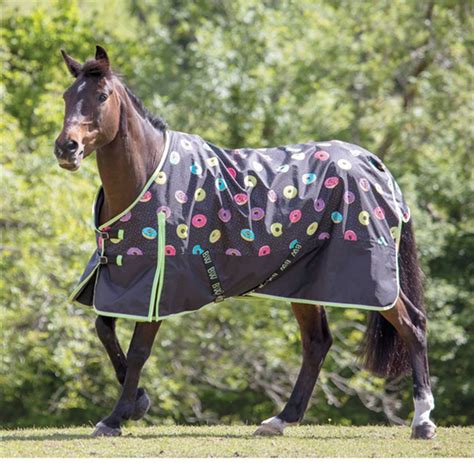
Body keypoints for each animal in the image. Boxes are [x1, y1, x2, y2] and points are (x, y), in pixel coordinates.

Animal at [53, 46, 436, 438]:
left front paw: (116, 417)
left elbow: (138, 352)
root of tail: (373, 164)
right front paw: (138, 404)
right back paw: (281, 419)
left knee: (413, 325)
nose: (66, 148)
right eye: (67, 96)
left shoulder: (156, 286)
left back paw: (422, 421)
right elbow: (105, 331)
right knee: (317, 343)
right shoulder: (120, 276)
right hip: (303, 281)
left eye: (102, 96)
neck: (147, 174)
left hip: (371, 279)